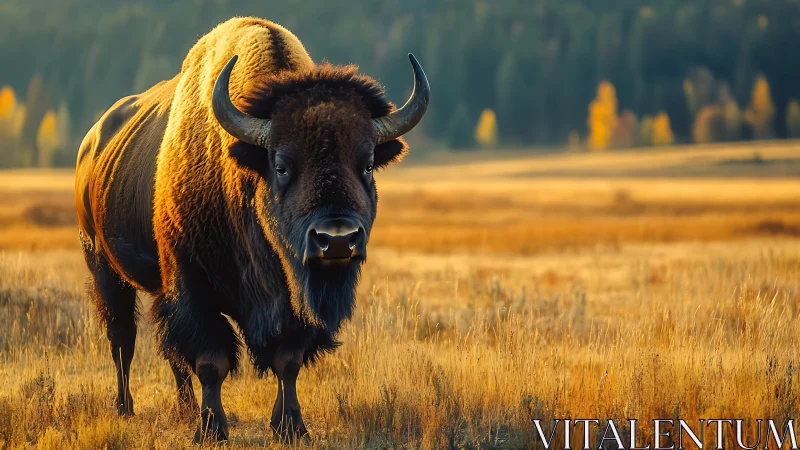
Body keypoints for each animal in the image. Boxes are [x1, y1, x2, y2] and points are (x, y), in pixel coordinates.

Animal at [74, 17, 429, 442]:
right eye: (281, 166)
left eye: (368, 164)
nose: (337, 240)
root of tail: (91, 141)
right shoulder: (192, 285)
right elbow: (211, 360)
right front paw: (211, 429)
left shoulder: (292, 301)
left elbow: (287, 360)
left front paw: (290, 426)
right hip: (103, 267)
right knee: (123, 340)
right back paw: (126, 408)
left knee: (168, 350)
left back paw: (184, 408)